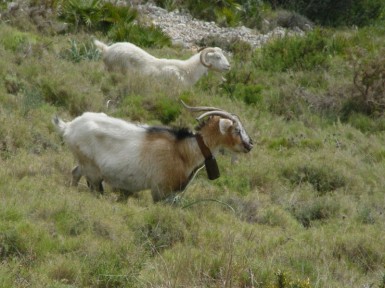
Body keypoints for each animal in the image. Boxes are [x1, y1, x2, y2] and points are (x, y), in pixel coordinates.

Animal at [52, 102, 254, 201]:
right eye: (237, 130)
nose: (250, 144)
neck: (183, 150)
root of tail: (69, 127)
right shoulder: (160, 190)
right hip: (93, 171)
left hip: (84, 164)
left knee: (75, 172)